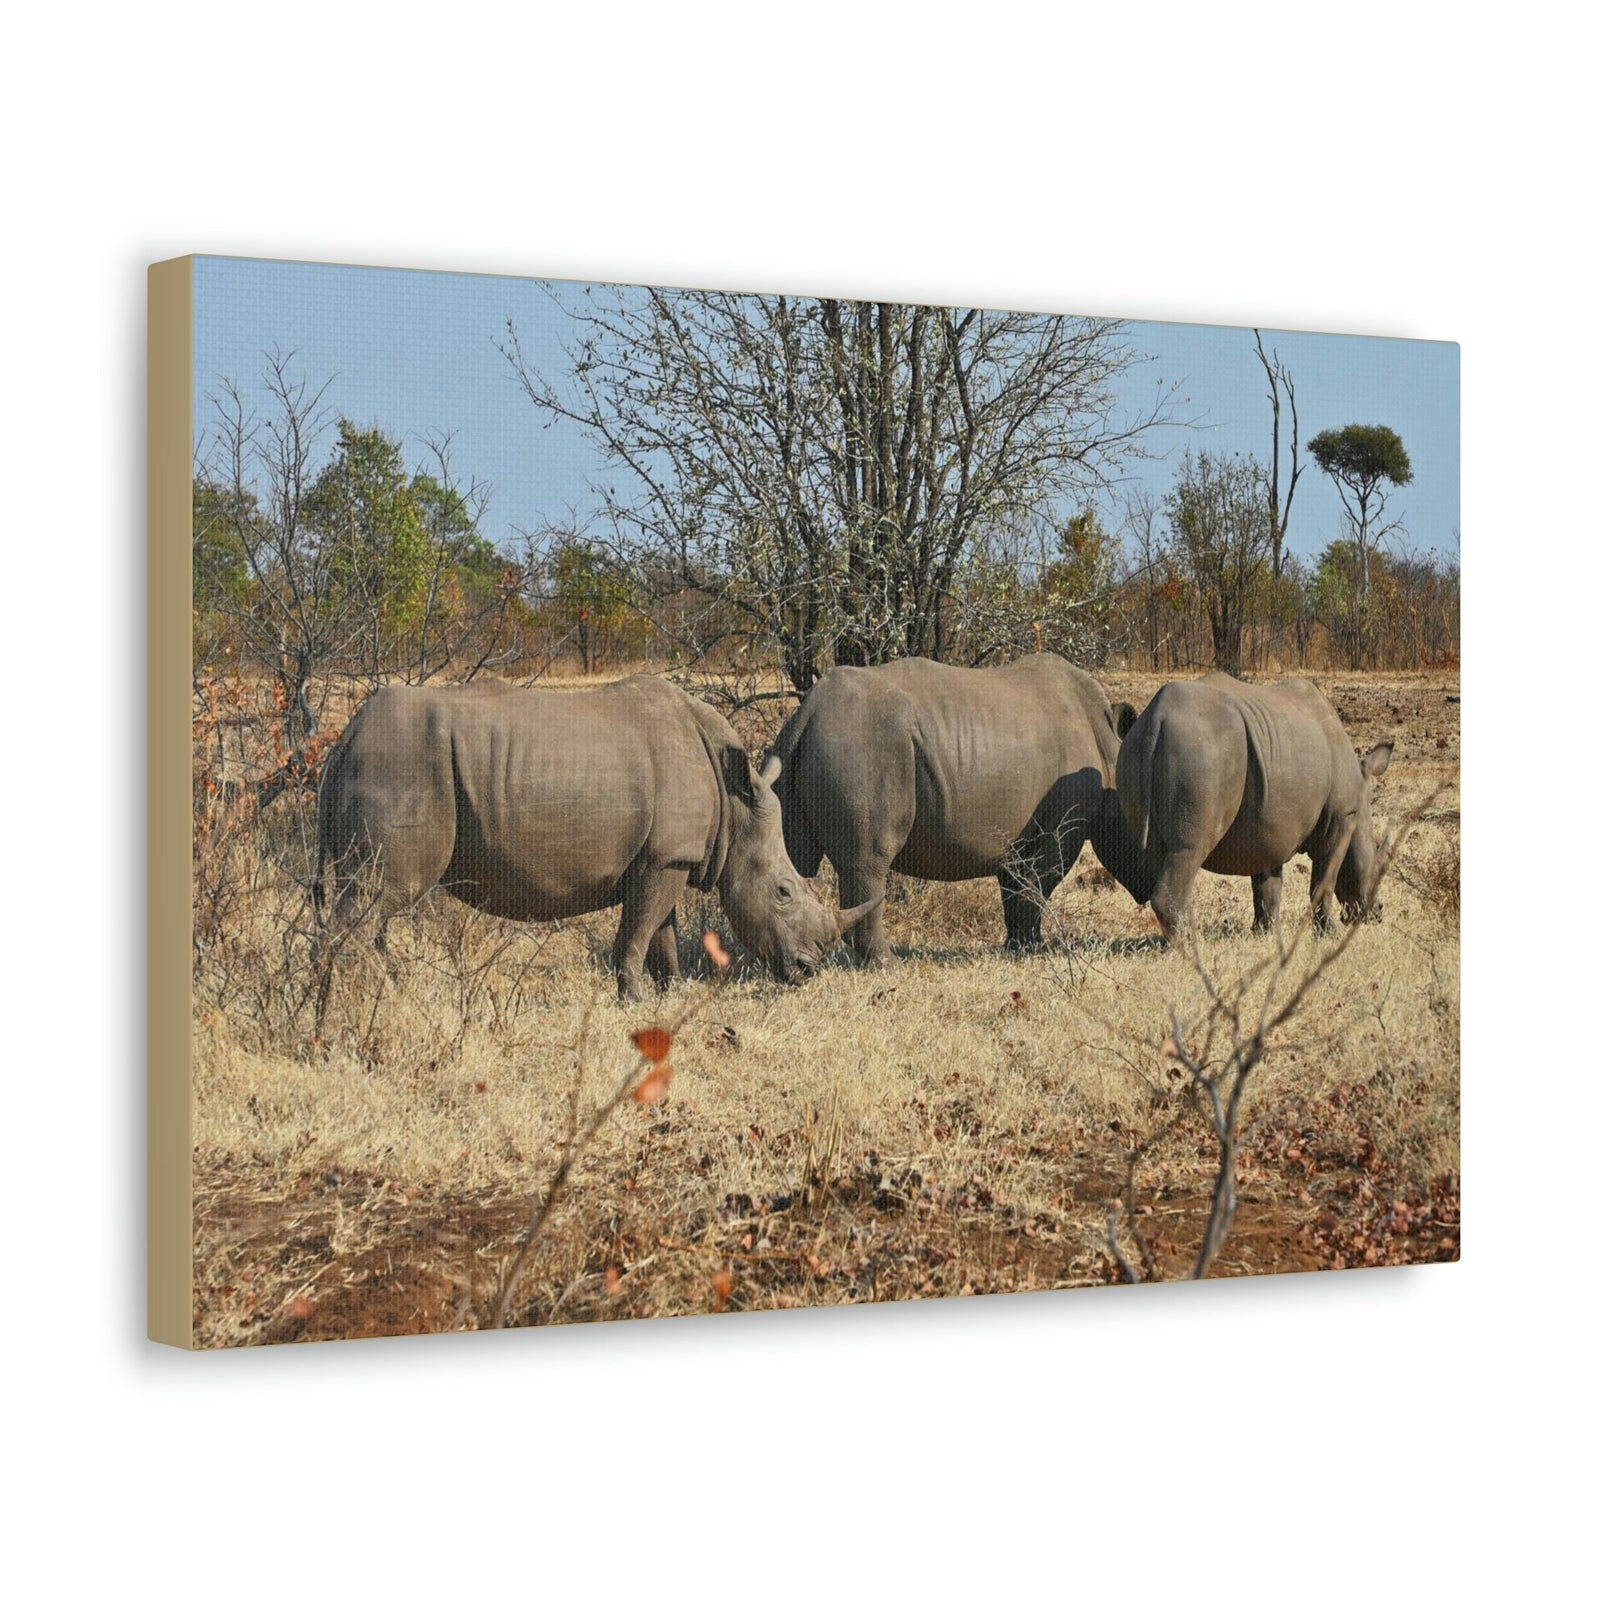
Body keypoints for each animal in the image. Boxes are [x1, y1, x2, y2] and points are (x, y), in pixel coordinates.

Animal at [314, 678, 873, 1000]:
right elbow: (637, 932)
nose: (807, 971)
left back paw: (381, 994)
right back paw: (359, 1006)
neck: (736, 807)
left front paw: (669, 995)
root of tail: (343, 741)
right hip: (401, 765)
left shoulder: (668, 856)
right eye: (783, 892)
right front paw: (633, 1000)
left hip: (386, 761)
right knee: (379, 896)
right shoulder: (667, 858)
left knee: (374, 902)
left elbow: (661, 932)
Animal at [768, 654, 1156, 967]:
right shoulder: (1061, 827)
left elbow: (1015, 887)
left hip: (807, 747)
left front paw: (1016, 948)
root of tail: (808, 711)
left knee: (792, 859)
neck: (1110, 753)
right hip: (863, 746)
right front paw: (1035, 950)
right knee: (867, 863)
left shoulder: (1017, 835)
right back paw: (887, 965)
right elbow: (1039, 883)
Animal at [1115, 672, 1393, 939]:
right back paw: (1191, 945)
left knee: (1159, 853)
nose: (1378, 912)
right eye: (1378, 865)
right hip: (1201, 752)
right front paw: (1329, 935)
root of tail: (1157, 719)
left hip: (1136, 749)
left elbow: (1267, 885)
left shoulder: (1269, 827)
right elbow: (1324, 879)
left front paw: (1265, 933)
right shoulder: (1341, 817)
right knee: (1189, 849)